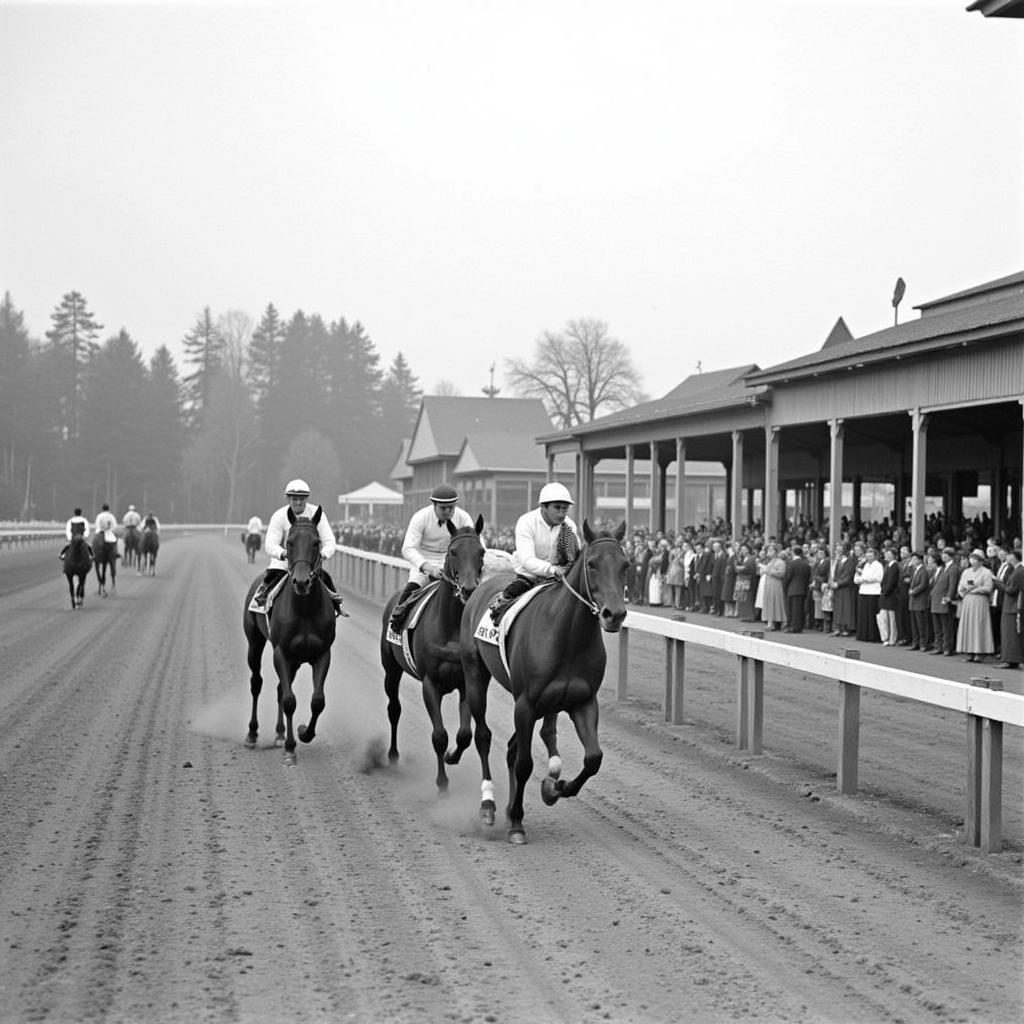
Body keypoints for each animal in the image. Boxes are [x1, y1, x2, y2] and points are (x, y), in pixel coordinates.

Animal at [239, 507, 335, 765]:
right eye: (289, 542)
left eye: (316, 542)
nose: (301, 581)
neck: (304, 609)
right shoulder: (280, 652)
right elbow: (290, 701)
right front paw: (291, 749)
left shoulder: (322, 654)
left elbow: (318, 701)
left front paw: (303, 733)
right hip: (255, 643)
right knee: (256, 683)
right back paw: (252, 734)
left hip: (294, 660)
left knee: (281, 688)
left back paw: (280, 734)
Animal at [380, 520, 487, 790]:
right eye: (454, 552)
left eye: (481, 552)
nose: (468, 589)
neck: (451, 627)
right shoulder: (430, 683)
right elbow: (439, 736)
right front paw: (442, 782)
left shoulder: (466, 682)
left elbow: (464, 734)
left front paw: (451, 756)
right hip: (390, 669)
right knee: (394, 709)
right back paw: (392, 755)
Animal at [458, 524, 630, 843]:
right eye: (592, 564)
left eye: (625, 565)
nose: (614, 615)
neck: (567, 635)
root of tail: (479, 589)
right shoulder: (525, 703)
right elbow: (524, 763)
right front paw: (516, 822)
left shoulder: (583, 702)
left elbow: (594, 758)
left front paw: (553, 789)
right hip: (475, 675)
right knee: (484, 737)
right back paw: (489, 805)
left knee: (513, 747)